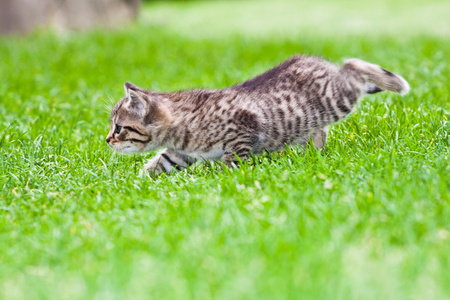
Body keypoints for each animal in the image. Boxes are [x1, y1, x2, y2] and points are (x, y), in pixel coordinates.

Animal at [107, 55, 410, 175]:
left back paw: (393, 81)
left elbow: (231, 159)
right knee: (319, 129)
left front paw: (223, 179)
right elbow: (159, 161)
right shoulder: (181, 153)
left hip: (336, 98)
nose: (108, 140)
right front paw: (137, 181)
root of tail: (322, 64)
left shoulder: (242, 130)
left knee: (353, 67)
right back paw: (314, 151)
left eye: (119, 128)